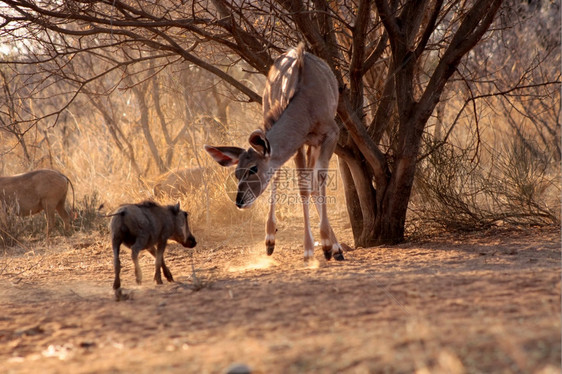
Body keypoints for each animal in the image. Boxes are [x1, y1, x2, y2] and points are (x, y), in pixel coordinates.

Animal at [203, 43, 344, 260]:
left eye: (253, 169)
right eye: (236, 173)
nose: (240, 201)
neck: (306, 105)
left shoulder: (331, 134)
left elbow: (317, 179)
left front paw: (326, 245)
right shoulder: (299, 143)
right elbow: (303, 187)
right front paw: (310, 249)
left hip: (314, 144)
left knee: (311, 181)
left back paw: (334, 247)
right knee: (282, 176)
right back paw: (270, 240)